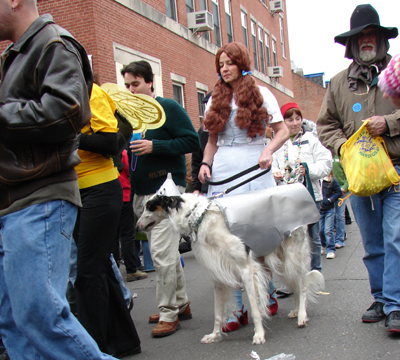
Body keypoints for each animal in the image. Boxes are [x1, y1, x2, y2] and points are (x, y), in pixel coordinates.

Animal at [136, 193, 324, 344]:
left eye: (149, 206)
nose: (137, 227)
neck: (199, 216)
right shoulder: (217, 276)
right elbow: (218, 314)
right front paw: (214, 335)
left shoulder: (246, 269)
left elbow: (256, 309)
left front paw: (259, 334)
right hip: (282, 260)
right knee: (296, 286)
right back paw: (296, 311)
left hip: (293, 256)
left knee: (302, 285)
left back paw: (302, 316)